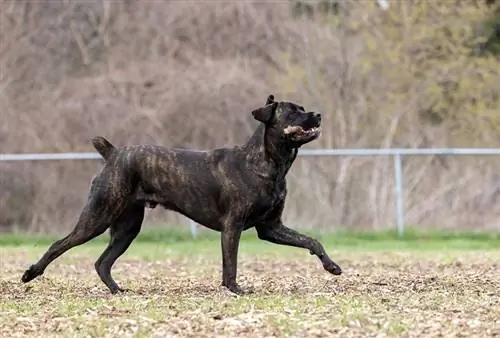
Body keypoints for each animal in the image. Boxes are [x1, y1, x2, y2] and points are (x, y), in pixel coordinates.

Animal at [21, 94, 342, 294]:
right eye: (293, 111)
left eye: (303, 107)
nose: (317, 114)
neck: (268, 163)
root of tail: (113, 153)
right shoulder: (233, 227)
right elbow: (231, 263)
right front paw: (234, 289)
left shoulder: (271, 227)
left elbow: (311, 241)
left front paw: (332, 266)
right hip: (97, 217)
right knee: (59, 245)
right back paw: (30, 273)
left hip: (127, 228)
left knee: (102, 262)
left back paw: (117, 290)